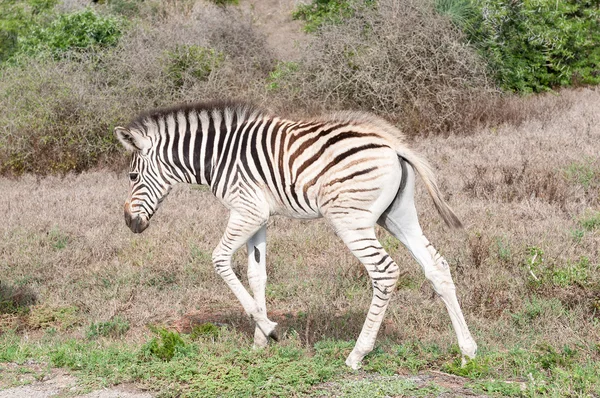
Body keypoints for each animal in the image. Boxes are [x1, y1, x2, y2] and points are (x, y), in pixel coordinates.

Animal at [115, 101, 476, 368]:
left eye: (132, 176)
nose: (130, 223)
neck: (218, 157)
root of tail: (394, 144)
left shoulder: (246, 210)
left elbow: (219, 260)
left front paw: (270, 329)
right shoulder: (259, 217)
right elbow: (256, 274)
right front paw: (260, 340)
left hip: (351, 220)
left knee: (384, 271)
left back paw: (357, 354)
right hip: (398, 215)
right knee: (437, 267)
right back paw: (467, 351)